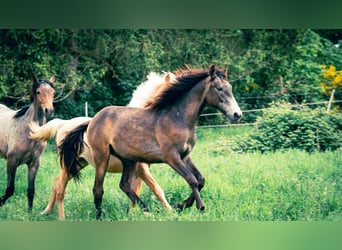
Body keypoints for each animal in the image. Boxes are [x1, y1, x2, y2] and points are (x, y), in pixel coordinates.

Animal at [0, 75, 54, 209]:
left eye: (53, 92)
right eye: (38, 92)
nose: (49, 111)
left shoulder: (34, 164)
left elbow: (30, 191)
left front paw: (29, 212)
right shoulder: (12, 160)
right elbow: (10, 189)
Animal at [28, 72, 174, 219]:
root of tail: (63, 123)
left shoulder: (139, 170)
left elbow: (140, 191)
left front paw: (134, 214)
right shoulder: (141, 169)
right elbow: (156, 189)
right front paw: (171, 213)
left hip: (79, 164)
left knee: (56, 183)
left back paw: (47, 211)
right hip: (69, 165)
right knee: (60, 189)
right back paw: (61, 217)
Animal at [59, 65, 240, 219]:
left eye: (231, 89)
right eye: (219, 89)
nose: (237, 115)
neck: (177, 118)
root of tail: (92, 121)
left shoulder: (185, 156)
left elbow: (200, 180)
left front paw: (180, 205)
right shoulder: (171, 158)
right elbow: (191, 179)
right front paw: (199, 207)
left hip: (129, 160)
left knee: (125, 185)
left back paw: (146, 210)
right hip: (101, 158)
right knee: (97, 189)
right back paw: (101, 217)